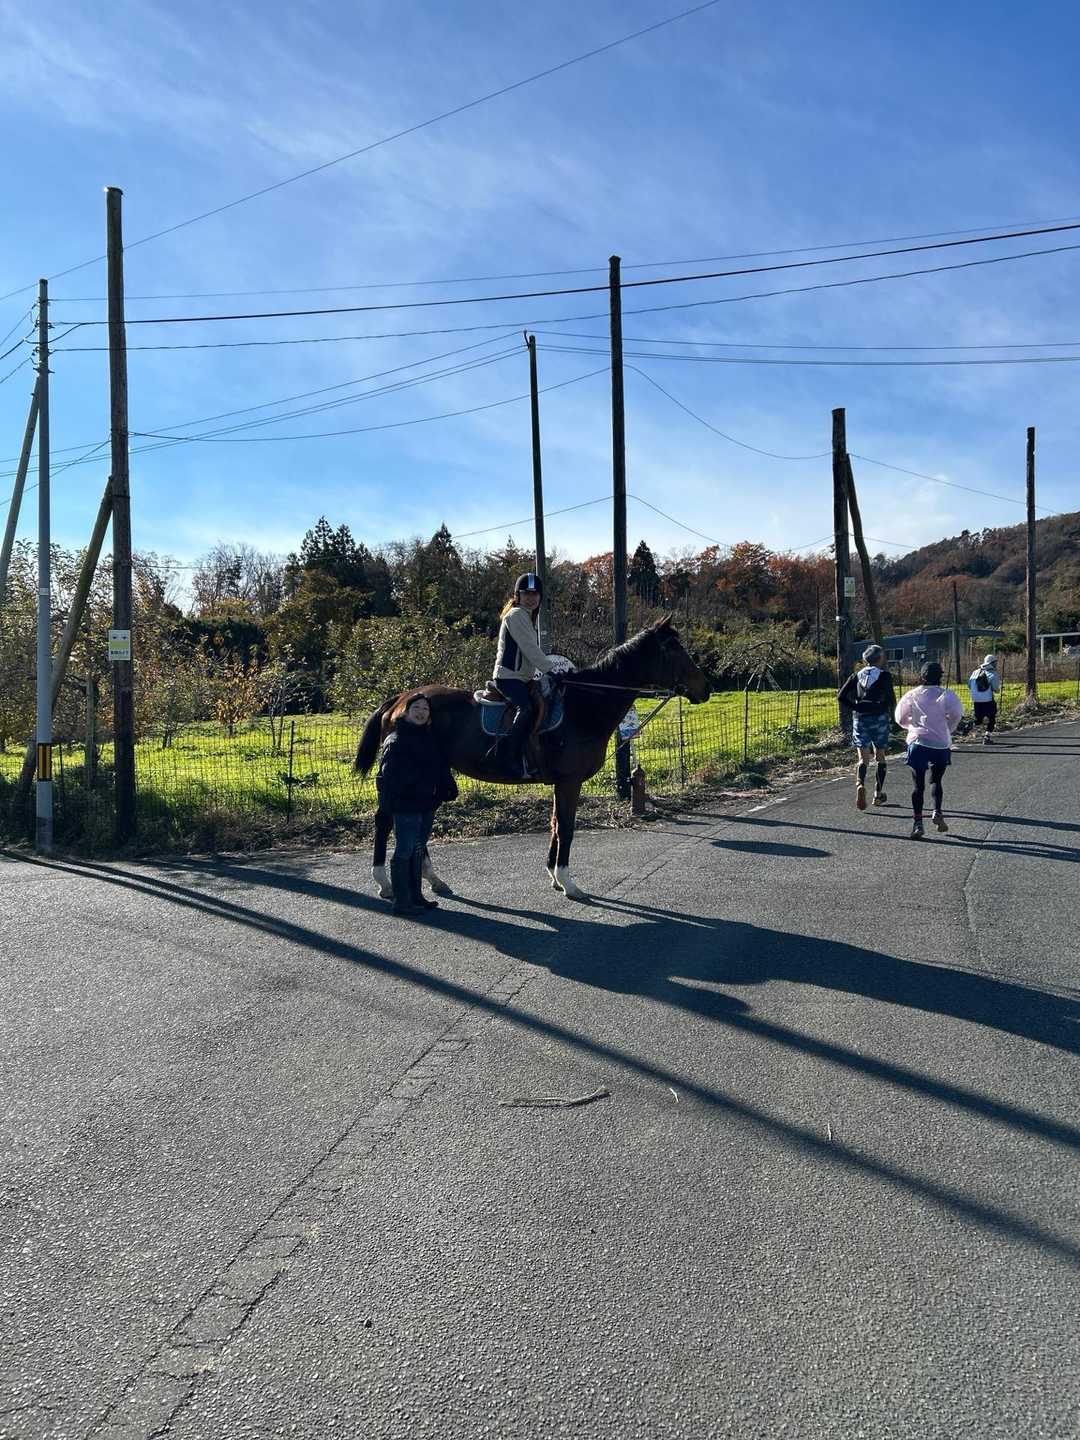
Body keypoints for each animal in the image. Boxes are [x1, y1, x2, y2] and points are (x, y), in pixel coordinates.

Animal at [353, 616, 711, 900]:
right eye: (673, 648)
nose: (705, 688)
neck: (585, 705)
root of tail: (401, 698)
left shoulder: (561, 783)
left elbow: (555, 824)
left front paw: (554, 875)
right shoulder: (569, 782)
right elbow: (566, 827)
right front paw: (567, 882)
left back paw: (433, 878)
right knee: (385, 819)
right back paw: (384, 881)